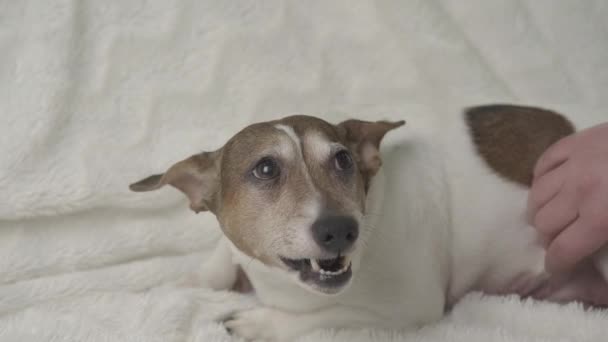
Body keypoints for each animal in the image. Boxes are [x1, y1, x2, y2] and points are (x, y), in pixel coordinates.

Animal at [129, 105, 608, 340]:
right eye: (265, 169)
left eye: (343, 160)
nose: (341, 229)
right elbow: (220, 257)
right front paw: (190, 281)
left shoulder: (409, 308)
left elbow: (325, 315)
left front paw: (258, 322)